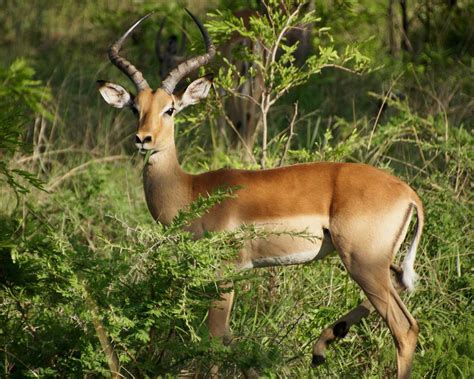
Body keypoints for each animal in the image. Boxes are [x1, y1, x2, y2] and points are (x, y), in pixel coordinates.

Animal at [98, 9, 424, 379]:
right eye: (134, 108)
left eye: (171, 108)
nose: (144, 139)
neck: (189, 190)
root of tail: (407, 192)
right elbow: (231, 340)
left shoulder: (224, 274)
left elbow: (215, 339)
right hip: (377, 264)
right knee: (400, 287)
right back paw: (321, 347)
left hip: (363, 263)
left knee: (405, 328)